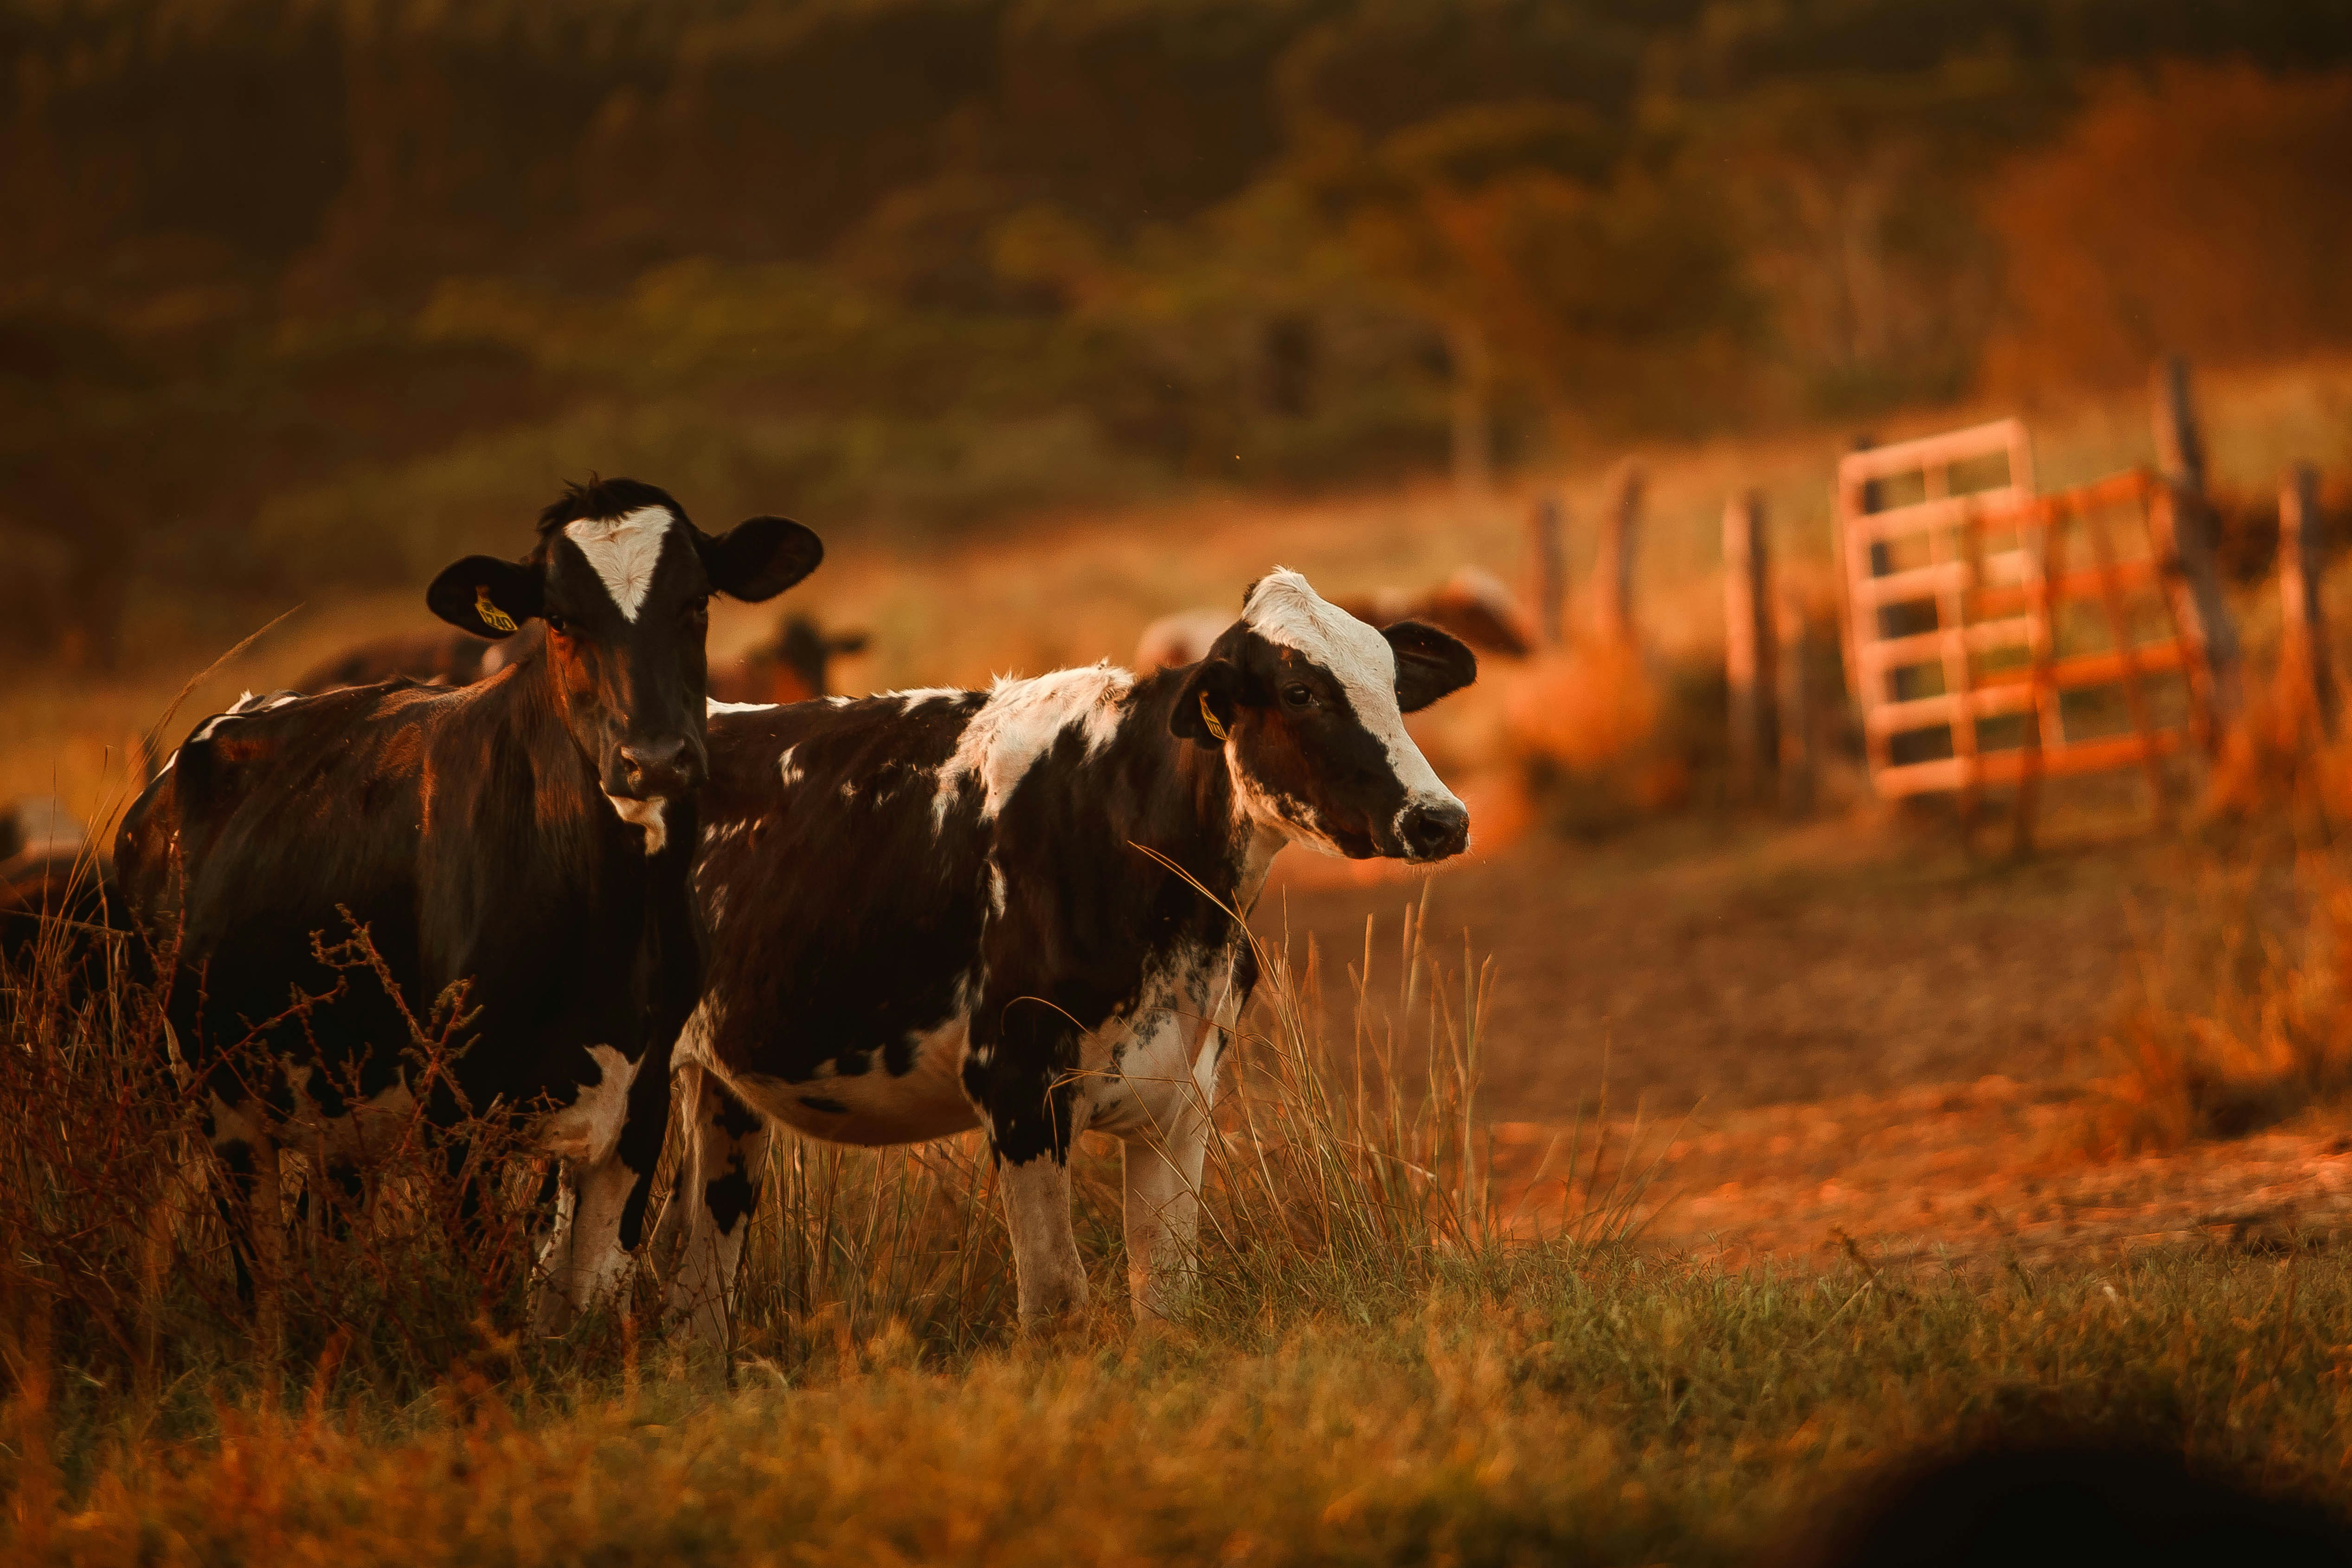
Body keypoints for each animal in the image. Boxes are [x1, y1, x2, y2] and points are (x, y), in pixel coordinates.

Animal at [117, 482, 828, 1335]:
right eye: (560, 619)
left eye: (696, 603)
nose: (654, 760)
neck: (603, 922)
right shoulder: (457, 1118)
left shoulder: (638, 1110)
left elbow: (582, 1308)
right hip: (208, 1102)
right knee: (257, 1279)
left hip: (341, 1122)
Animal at [663, 571, 1467, 1344]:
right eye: (1300, 692)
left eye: (1394, 684)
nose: (1441, 819)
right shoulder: (1017, 1085)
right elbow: (1056, 1302)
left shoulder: (1183, 1098)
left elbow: (1166, 1294)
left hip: (722, 1100)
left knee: (697, 1276)